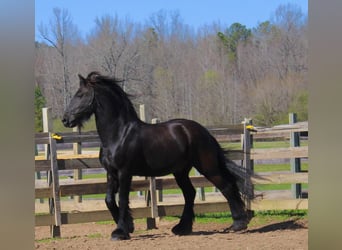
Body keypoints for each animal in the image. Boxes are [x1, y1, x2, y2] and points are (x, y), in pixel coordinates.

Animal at [62, 71, 248, 239]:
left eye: (80, 95)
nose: (65, 120)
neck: (119, 134)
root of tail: (203, 131)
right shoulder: (111, 173)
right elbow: (109, 200)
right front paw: (128, 226)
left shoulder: (124, 172)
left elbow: (122, 199)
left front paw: (120, 232)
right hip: (181, 171)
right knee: (190, 193)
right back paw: (182, 228)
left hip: (207, 167)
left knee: (226, 187)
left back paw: (238, 224)